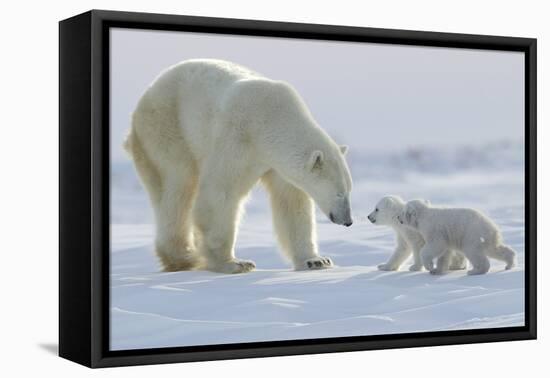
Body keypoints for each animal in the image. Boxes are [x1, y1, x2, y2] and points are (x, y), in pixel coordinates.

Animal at [125, 59, 354, 274]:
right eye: (339, 193)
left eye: (348, 190)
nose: (348, 221)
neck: (271, 118)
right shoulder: (238, 136)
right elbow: (220, 192)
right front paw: (234, 263)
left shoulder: (277, 164)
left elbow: (291, 203)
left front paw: (316, 261)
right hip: (166, 127)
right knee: (178, 184)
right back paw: (185, 257)